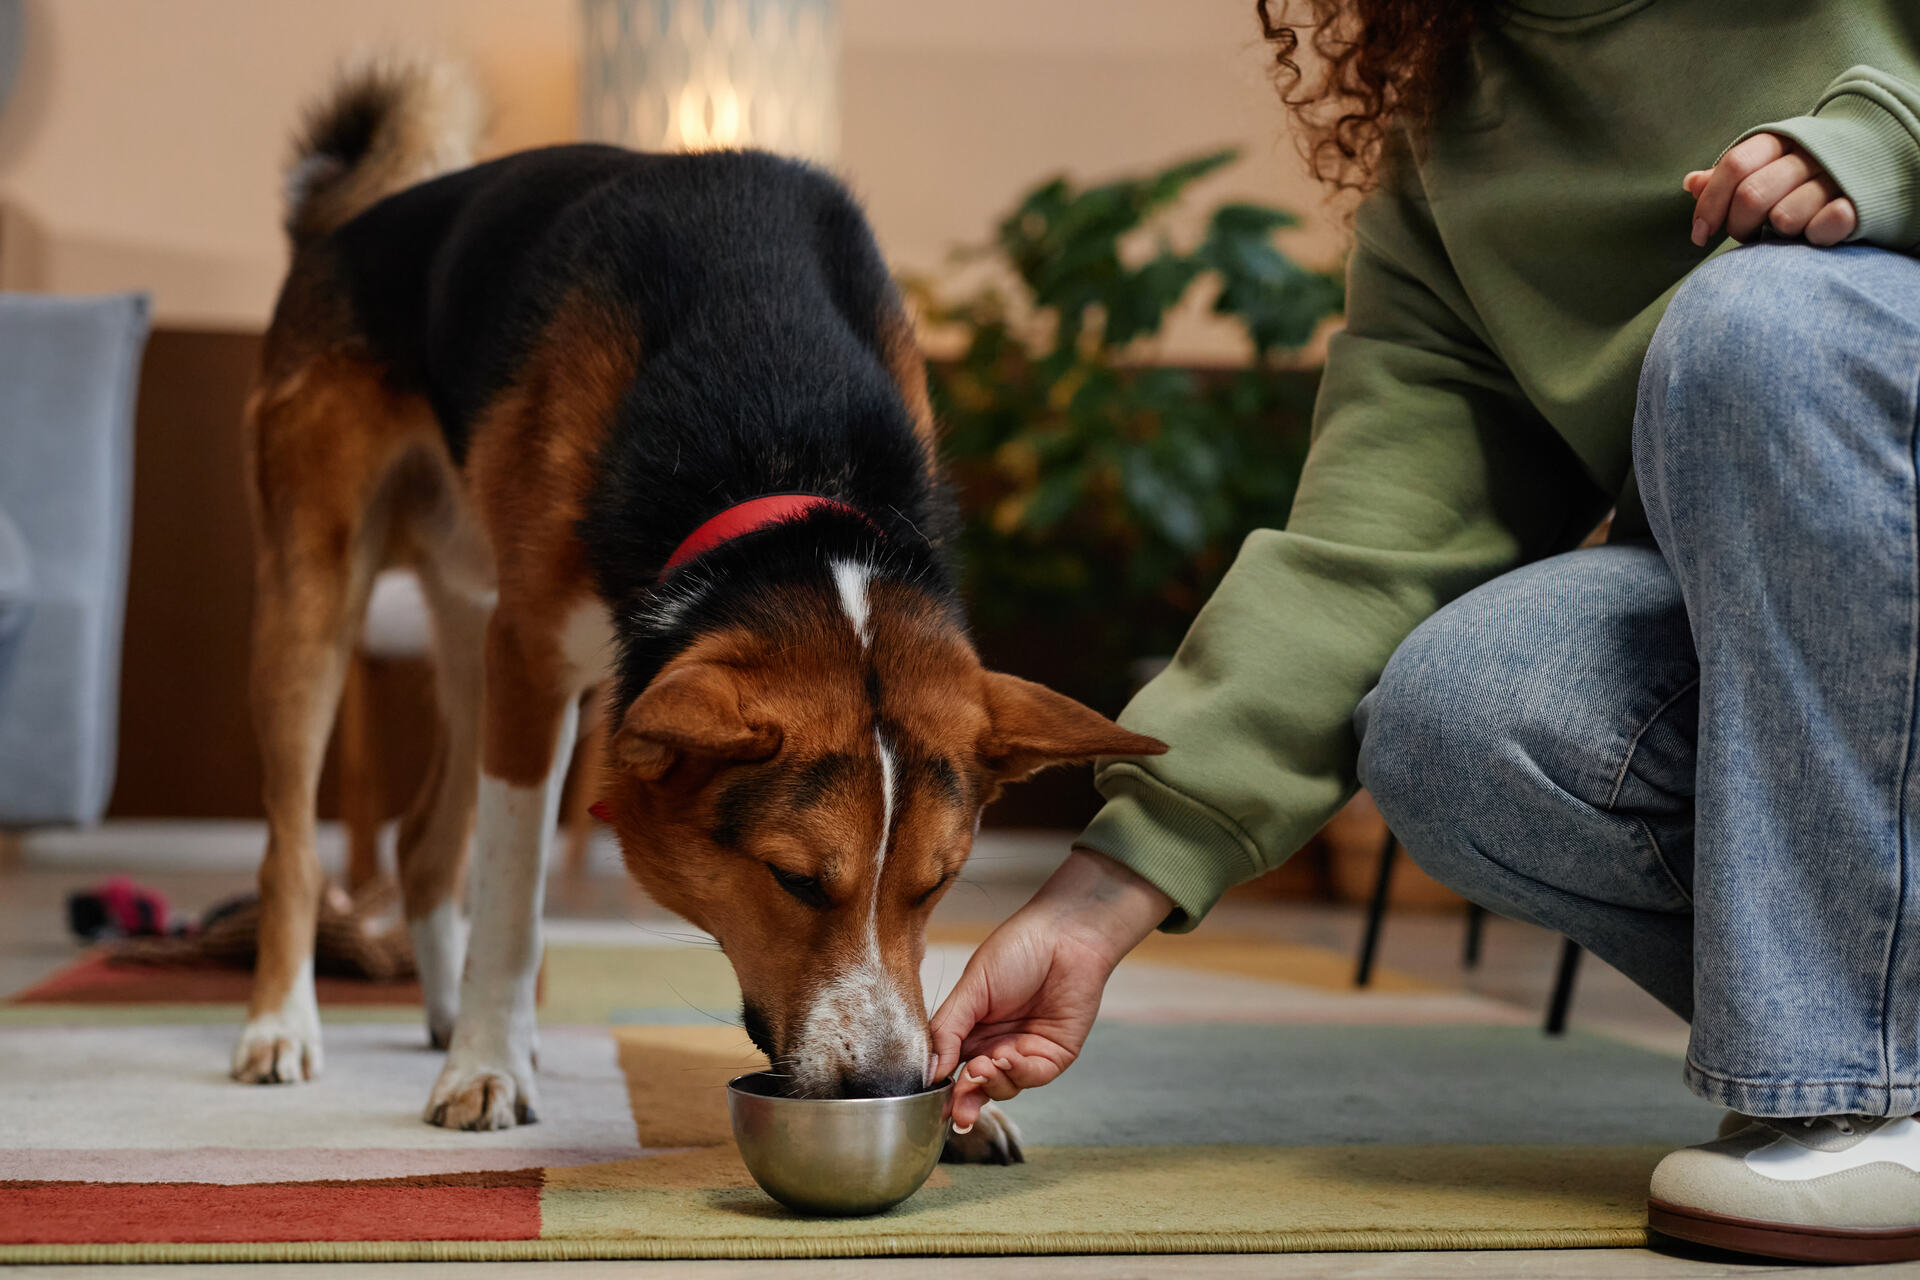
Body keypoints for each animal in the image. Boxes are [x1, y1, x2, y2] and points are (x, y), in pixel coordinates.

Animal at [240, 57, 1167, 1159]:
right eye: (796, 879)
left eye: (938, 885)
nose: (890, 1084)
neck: (780, 448)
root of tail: (346, 220)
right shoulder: (533, 664)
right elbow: (513, 899)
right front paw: (487, 1067)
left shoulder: (518, 659)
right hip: (319, 600)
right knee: (296, 846)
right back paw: (284, 1027)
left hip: (469, 625)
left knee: (425, 847)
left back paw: (440, 1012)